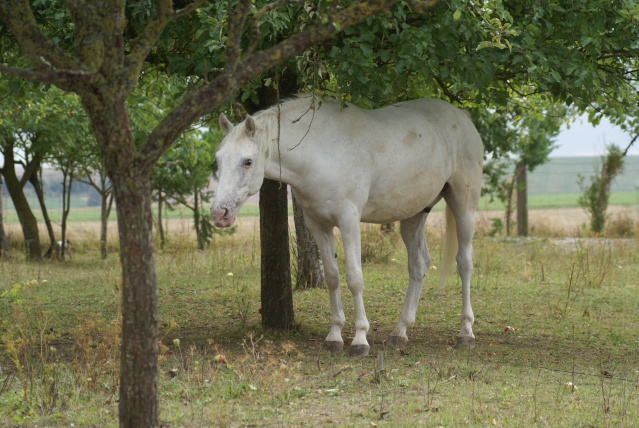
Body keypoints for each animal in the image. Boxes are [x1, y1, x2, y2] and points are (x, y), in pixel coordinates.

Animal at [212, 95, 482, 356]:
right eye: (218, 160)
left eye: (247, 161)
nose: (218, 213)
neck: (321, 152)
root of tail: (463, 118)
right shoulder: (318, 225)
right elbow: (332, 277)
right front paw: (334, 336)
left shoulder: (349, 221)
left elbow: (354, 278)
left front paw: (360, 339)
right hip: (414, 214)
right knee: (418, 265)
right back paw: (400, 332)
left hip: (463, 205)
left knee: (464, 263)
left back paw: (466, 333)